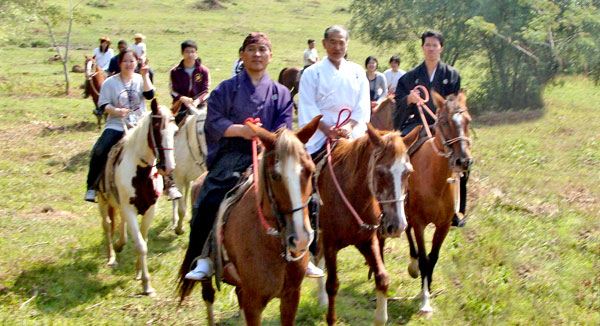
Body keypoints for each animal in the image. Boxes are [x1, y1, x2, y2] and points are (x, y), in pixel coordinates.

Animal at [97, 98, 178, 296]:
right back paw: (112, 256)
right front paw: (147, 285)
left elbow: (143, 240)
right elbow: (141, 244)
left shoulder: (149, 209)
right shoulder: (130, 209)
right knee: (107, 225)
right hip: (102, 202)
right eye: (156, 130)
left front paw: (139, 271)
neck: (141, 172)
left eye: (175, 131)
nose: (168, 167)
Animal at [178, 116, 324, 324]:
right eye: (275, 175)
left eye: (311, 171)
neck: (272, 244)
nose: (301, 239)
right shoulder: (253, 302)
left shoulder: (291, 296)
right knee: (209, 298)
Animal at [314, 124, 422, 326]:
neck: (351, 194)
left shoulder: (367, 241)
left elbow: (382, 278)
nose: (397, 225)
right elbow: (332, 284)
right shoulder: (330, 242)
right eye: (380, 172)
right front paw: (330, 317)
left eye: (408, 172)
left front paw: (380, 316)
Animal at [390, 91, 474, 314]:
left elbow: (433, 257)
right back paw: (412, 265)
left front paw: (428, 288)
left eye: (468, 120)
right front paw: (425, 300)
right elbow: (423, 257)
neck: (434, 180)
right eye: (443, 122)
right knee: (409, 234)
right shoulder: (419, 222)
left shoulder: (443, 225)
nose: (463, 161)